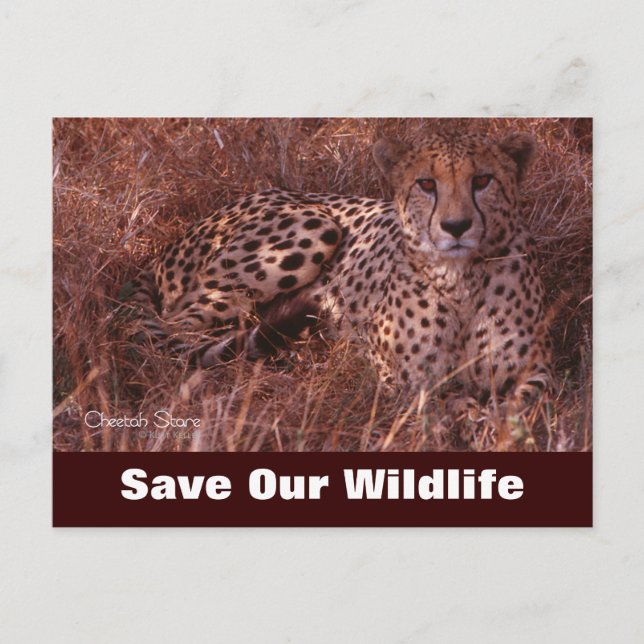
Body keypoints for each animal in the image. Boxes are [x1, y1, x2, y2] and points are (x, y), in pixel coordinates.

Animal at [127, 129, 552, 400]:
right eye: (426, 184)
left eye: (482, 180)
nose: (456, 226)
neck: (460, 280)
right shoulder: (401, 379)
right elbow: (448, 403)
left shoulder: (539, 371)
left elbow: (522, 404)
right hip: (315, 226)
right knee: (177, 329)